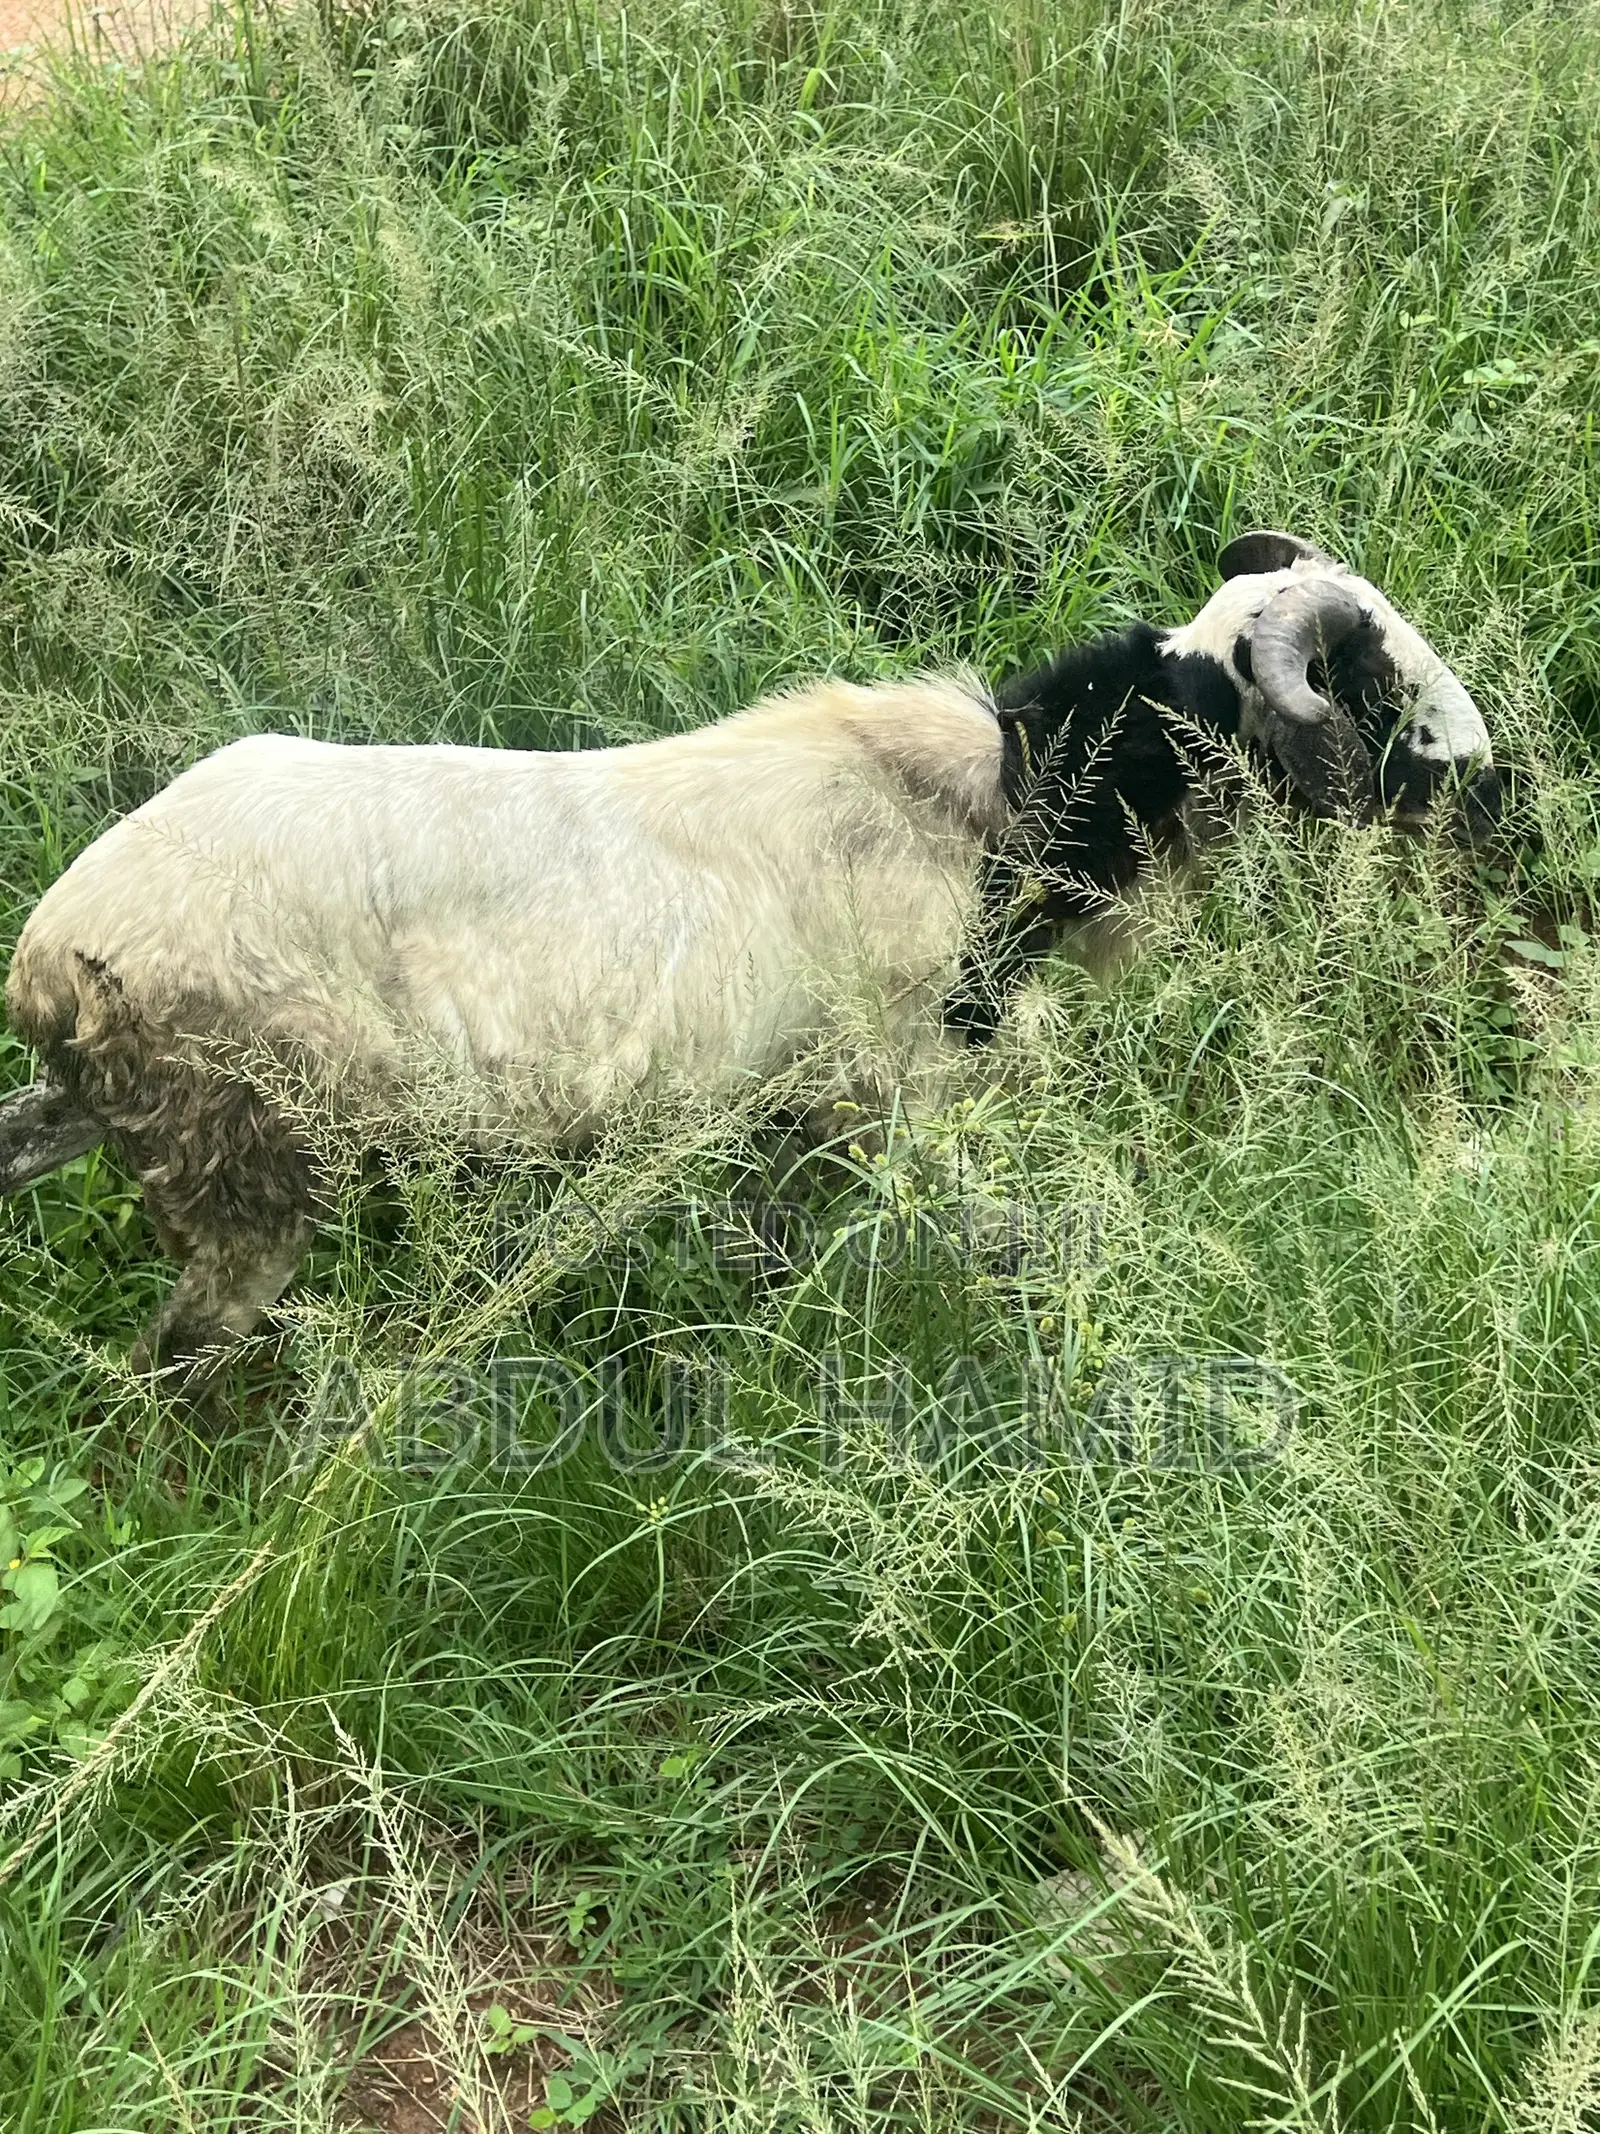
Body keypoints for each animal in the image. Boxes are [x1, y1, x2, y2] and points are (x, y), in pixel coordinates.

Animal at [0, 530, 1497, 1381]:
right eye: (1375, 685)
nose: (1487, 790)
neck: (1010, 811)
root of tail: (50, 960)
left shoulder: (781, 1122)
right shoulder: (890, 1090)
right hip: (245, 1166)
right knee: (173, 1365)